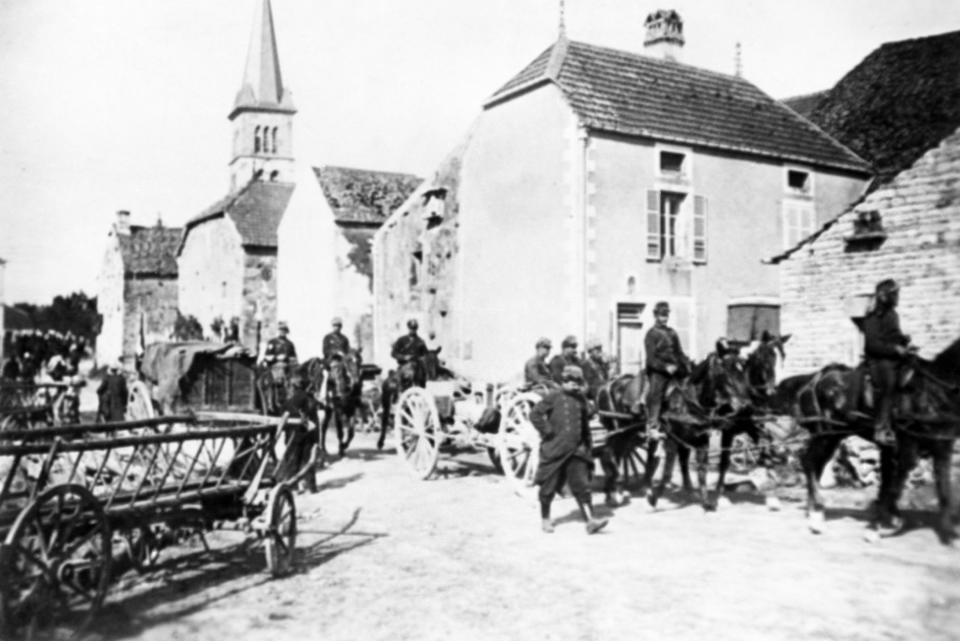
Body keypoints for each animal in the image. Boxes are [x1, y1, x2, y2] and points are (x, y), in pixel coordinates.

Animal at [796, 338, 960, 544]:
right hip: (825, 434)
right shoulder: (907, 447)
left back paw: (814, 512)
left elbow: (943, 488)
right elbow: (895, 485)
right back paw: (817, 515)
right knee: (809, 462)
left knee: (814, 464)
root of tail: (816, 380)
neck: (934, 391)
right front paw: (879, 525)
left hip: (833, 437)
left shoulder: (941, 446)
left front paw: (949, 534)